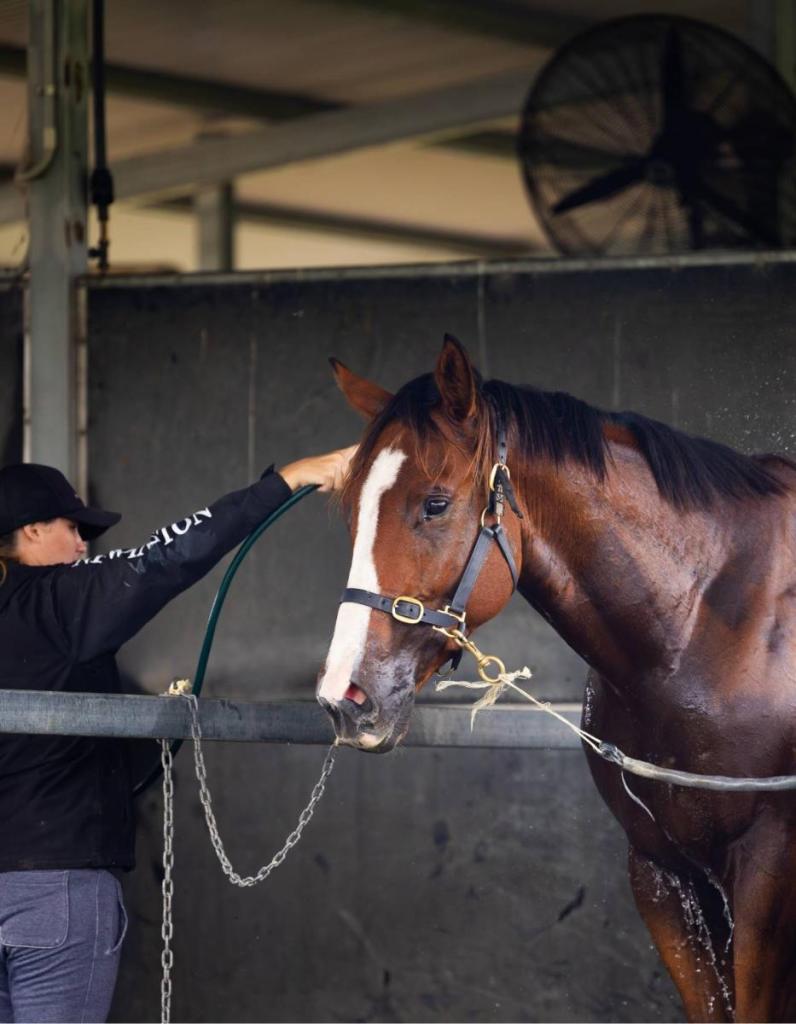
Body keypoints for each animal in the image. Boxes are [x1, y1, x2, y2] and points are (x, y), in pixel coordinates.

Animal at [315, 334, 796, 1023]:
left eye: (435, 503)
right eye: (352, 510)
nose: (344, 697)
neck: (712, 625)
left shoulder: (766, 876)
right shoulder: (662, 873)